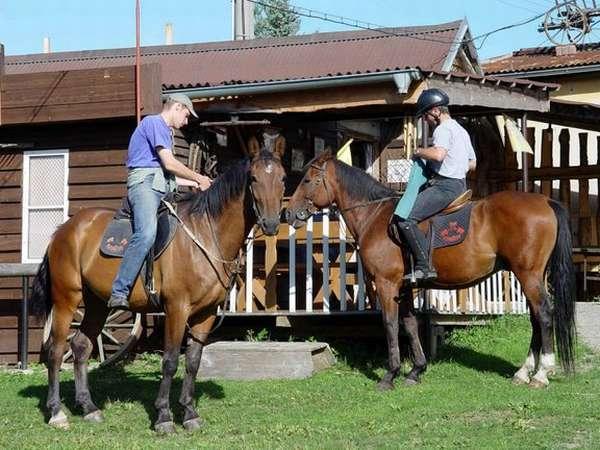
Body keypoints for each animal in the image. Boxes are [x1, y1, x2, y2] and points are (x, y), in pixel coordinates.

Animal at [30, 136, 288, 432]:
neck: (205, 234)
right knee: (55, 350)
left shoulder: (206, 313)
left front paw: (189, 413)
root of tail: (63, 231)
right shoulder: (177, 308)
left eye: (283, 177)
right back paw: (56, 412)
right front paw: (164, 416)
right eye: (254, 178)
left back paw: (89, 407)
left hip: (97, 303)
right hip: (66, 300)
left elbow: (193, 361)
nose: (271, 223)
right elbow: (170, 361)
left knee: (81, 346)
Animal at [286, 152, 576, 390]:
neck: (375, 216)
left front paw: (390, 375)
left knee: (544, 315)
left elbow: (390, 325)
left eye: (308, 180)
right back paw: (524, 372)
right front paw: (416, 370)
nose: (288, 214)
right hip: (530, 276)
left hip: (528, 275)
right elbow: (410, 324)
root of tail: (546, 202)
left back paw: (541, 374)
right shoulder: (403, 288)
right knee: (536, 318)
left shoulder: (386, 284)